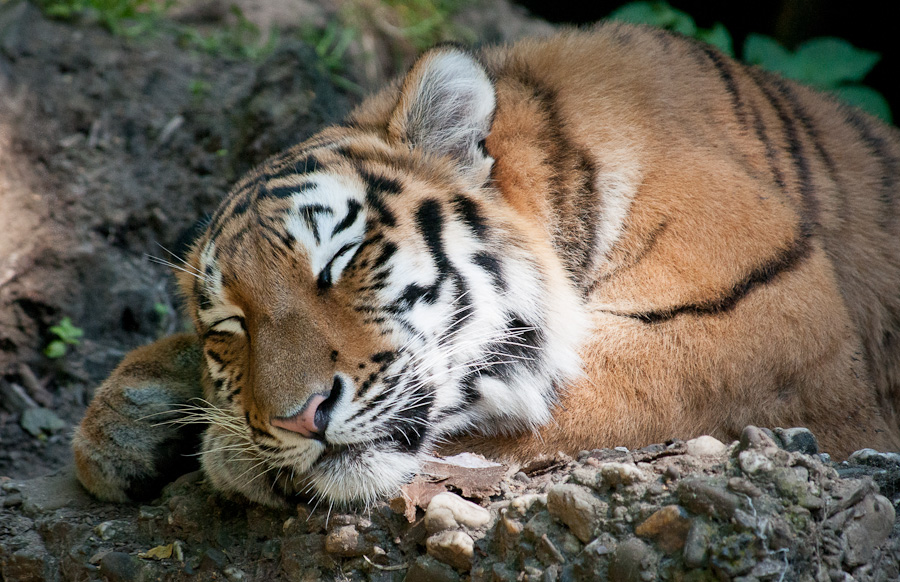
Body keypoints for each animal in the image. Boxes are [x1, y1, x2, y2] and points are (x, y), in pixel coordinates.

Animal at [72, 20, 900, 508]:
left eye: (340, 259)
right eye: (229, 327)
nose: (298, 419)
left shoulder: (751, 324)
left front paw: (224, 452)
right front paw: (119, 423)